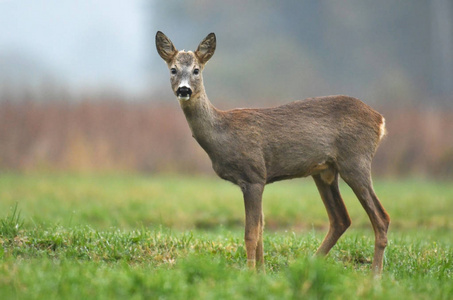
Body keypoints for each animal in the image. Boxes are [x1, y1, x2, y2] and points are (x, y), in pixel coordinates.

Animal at [154, 30, 388, 274]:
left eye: (196, 70)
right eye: (173, 69)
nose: (184, 89)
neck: (223, 133)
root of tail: (379, 120)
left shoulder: (254, 175)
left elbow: (251, 234)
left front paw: (250, 274)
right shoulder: (257, 180)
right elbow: (261, 231)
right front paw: (262, 273)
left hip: (355, 160)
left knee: (381, 218)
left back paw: (375, 275)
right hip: (325, 171)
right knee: (341, 219)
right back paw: (308, 266)